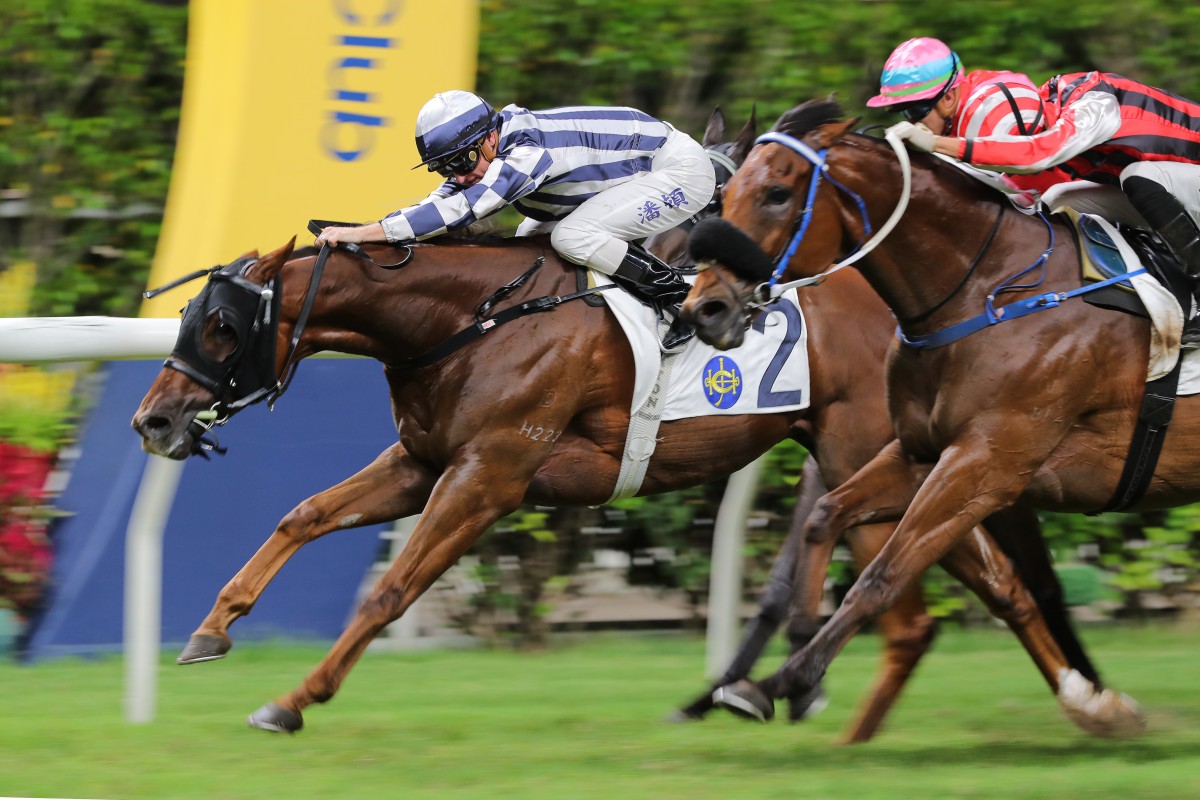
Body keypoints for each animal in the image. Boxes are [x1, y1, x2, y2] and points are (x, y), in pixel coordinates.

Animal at [681, 97, 1156, 734]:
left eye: (777, 194)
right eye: (725, 200)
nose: (703, 308)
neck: (984, 290)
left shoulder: (987, 461)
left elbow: (883, 573)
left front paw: (785, 679)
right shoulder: (923, 453)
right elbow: (823, 521)